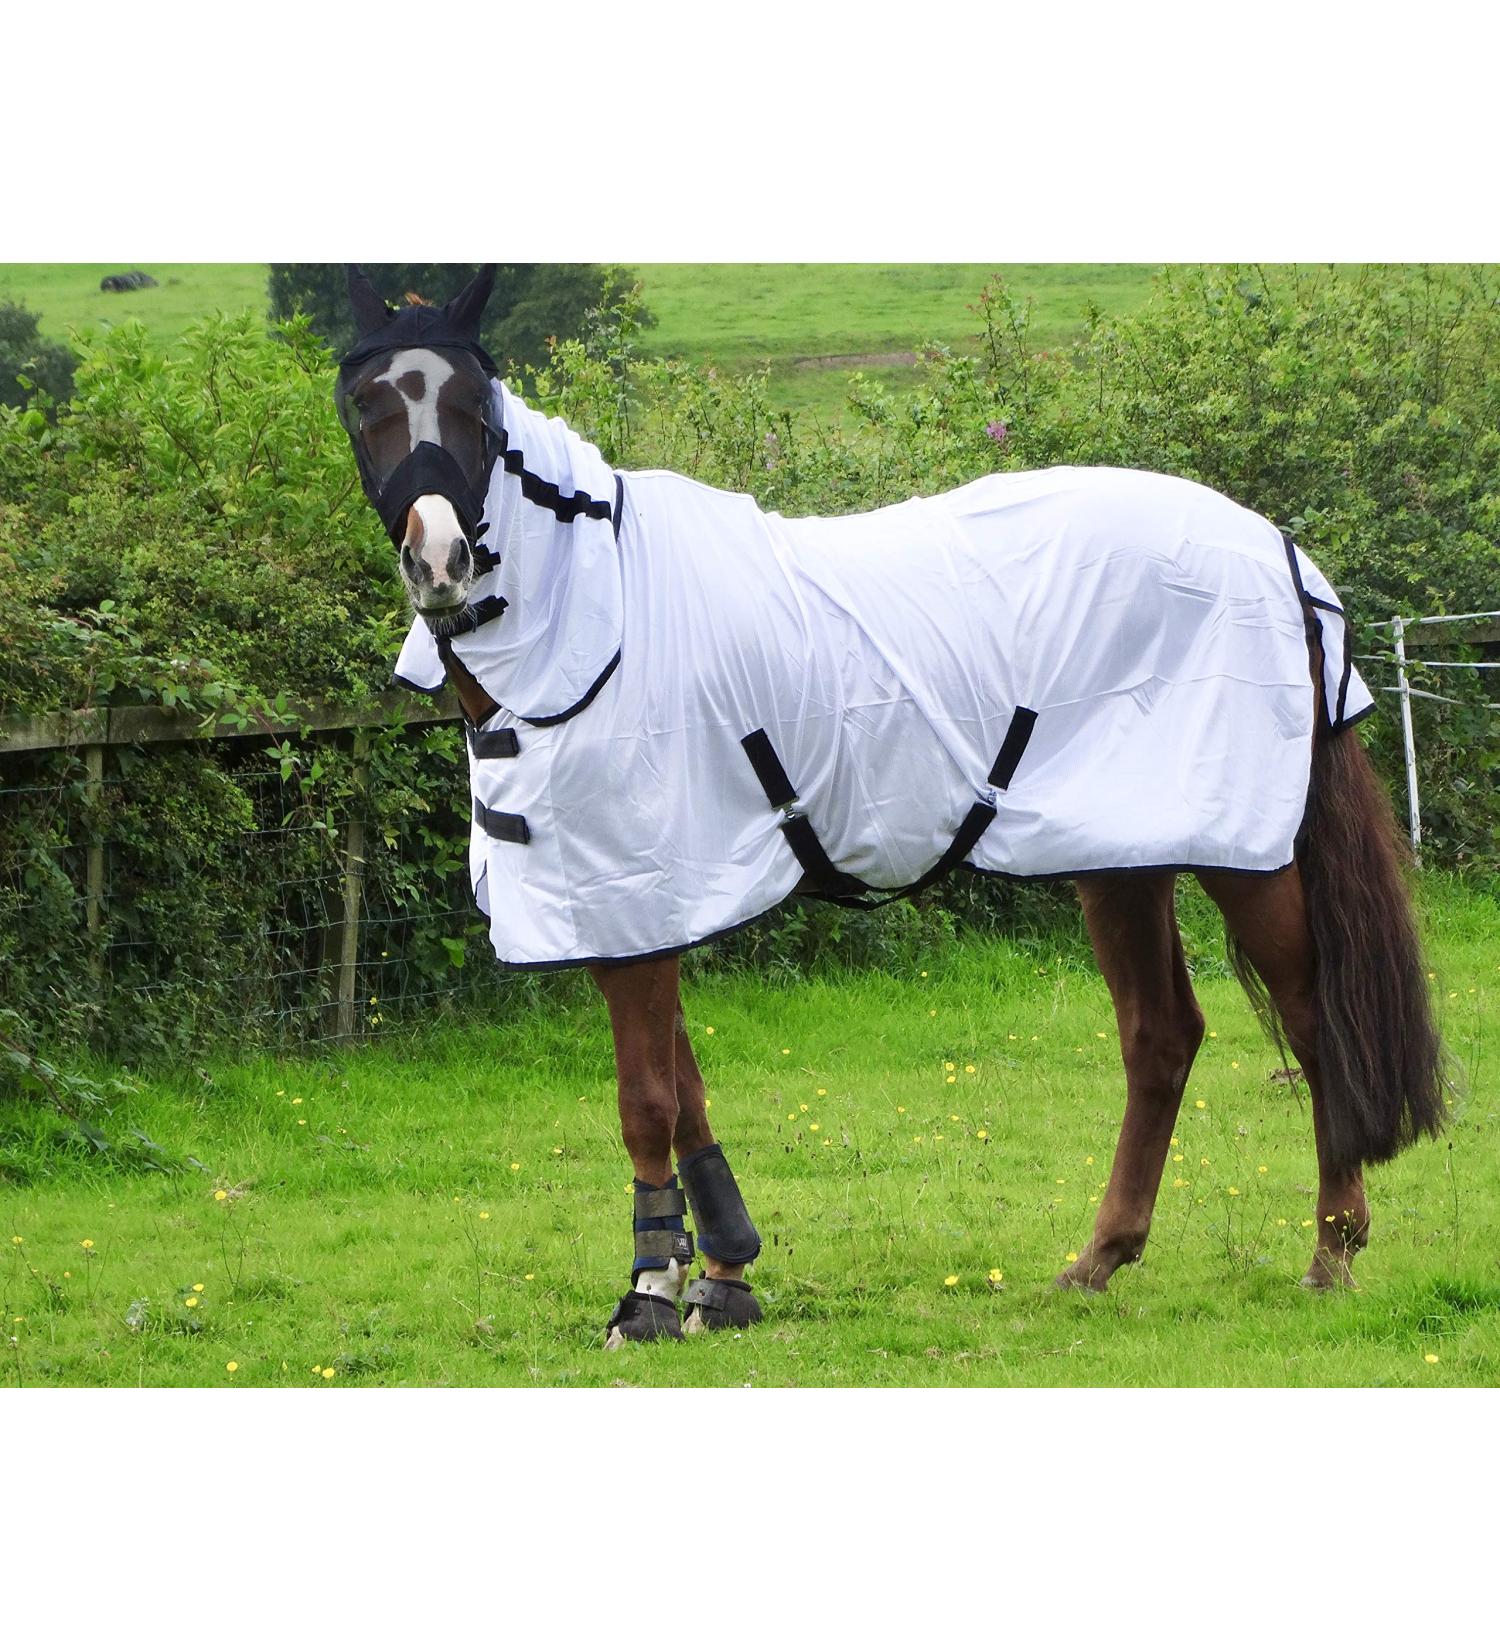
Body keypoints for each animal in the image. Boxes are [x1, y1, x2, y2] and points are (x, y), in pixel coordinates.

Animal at [333, 263, 1447, 1346]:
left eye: (474, 406)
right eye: (363, 404)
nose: (439, 562)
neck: (605, 613)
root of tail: (1272, 547)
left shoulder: (635, 894)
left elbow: (646, 1099)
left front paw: (650, 1293)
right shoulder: (634, 905)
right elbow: (685, 1088)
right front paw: (723, 1275)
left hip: (1237, 853)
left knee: (1311, 1016)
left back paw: (1333, 1250)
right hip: (1119, 856)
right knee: (1161, 1036)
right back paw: (1099, 1259)